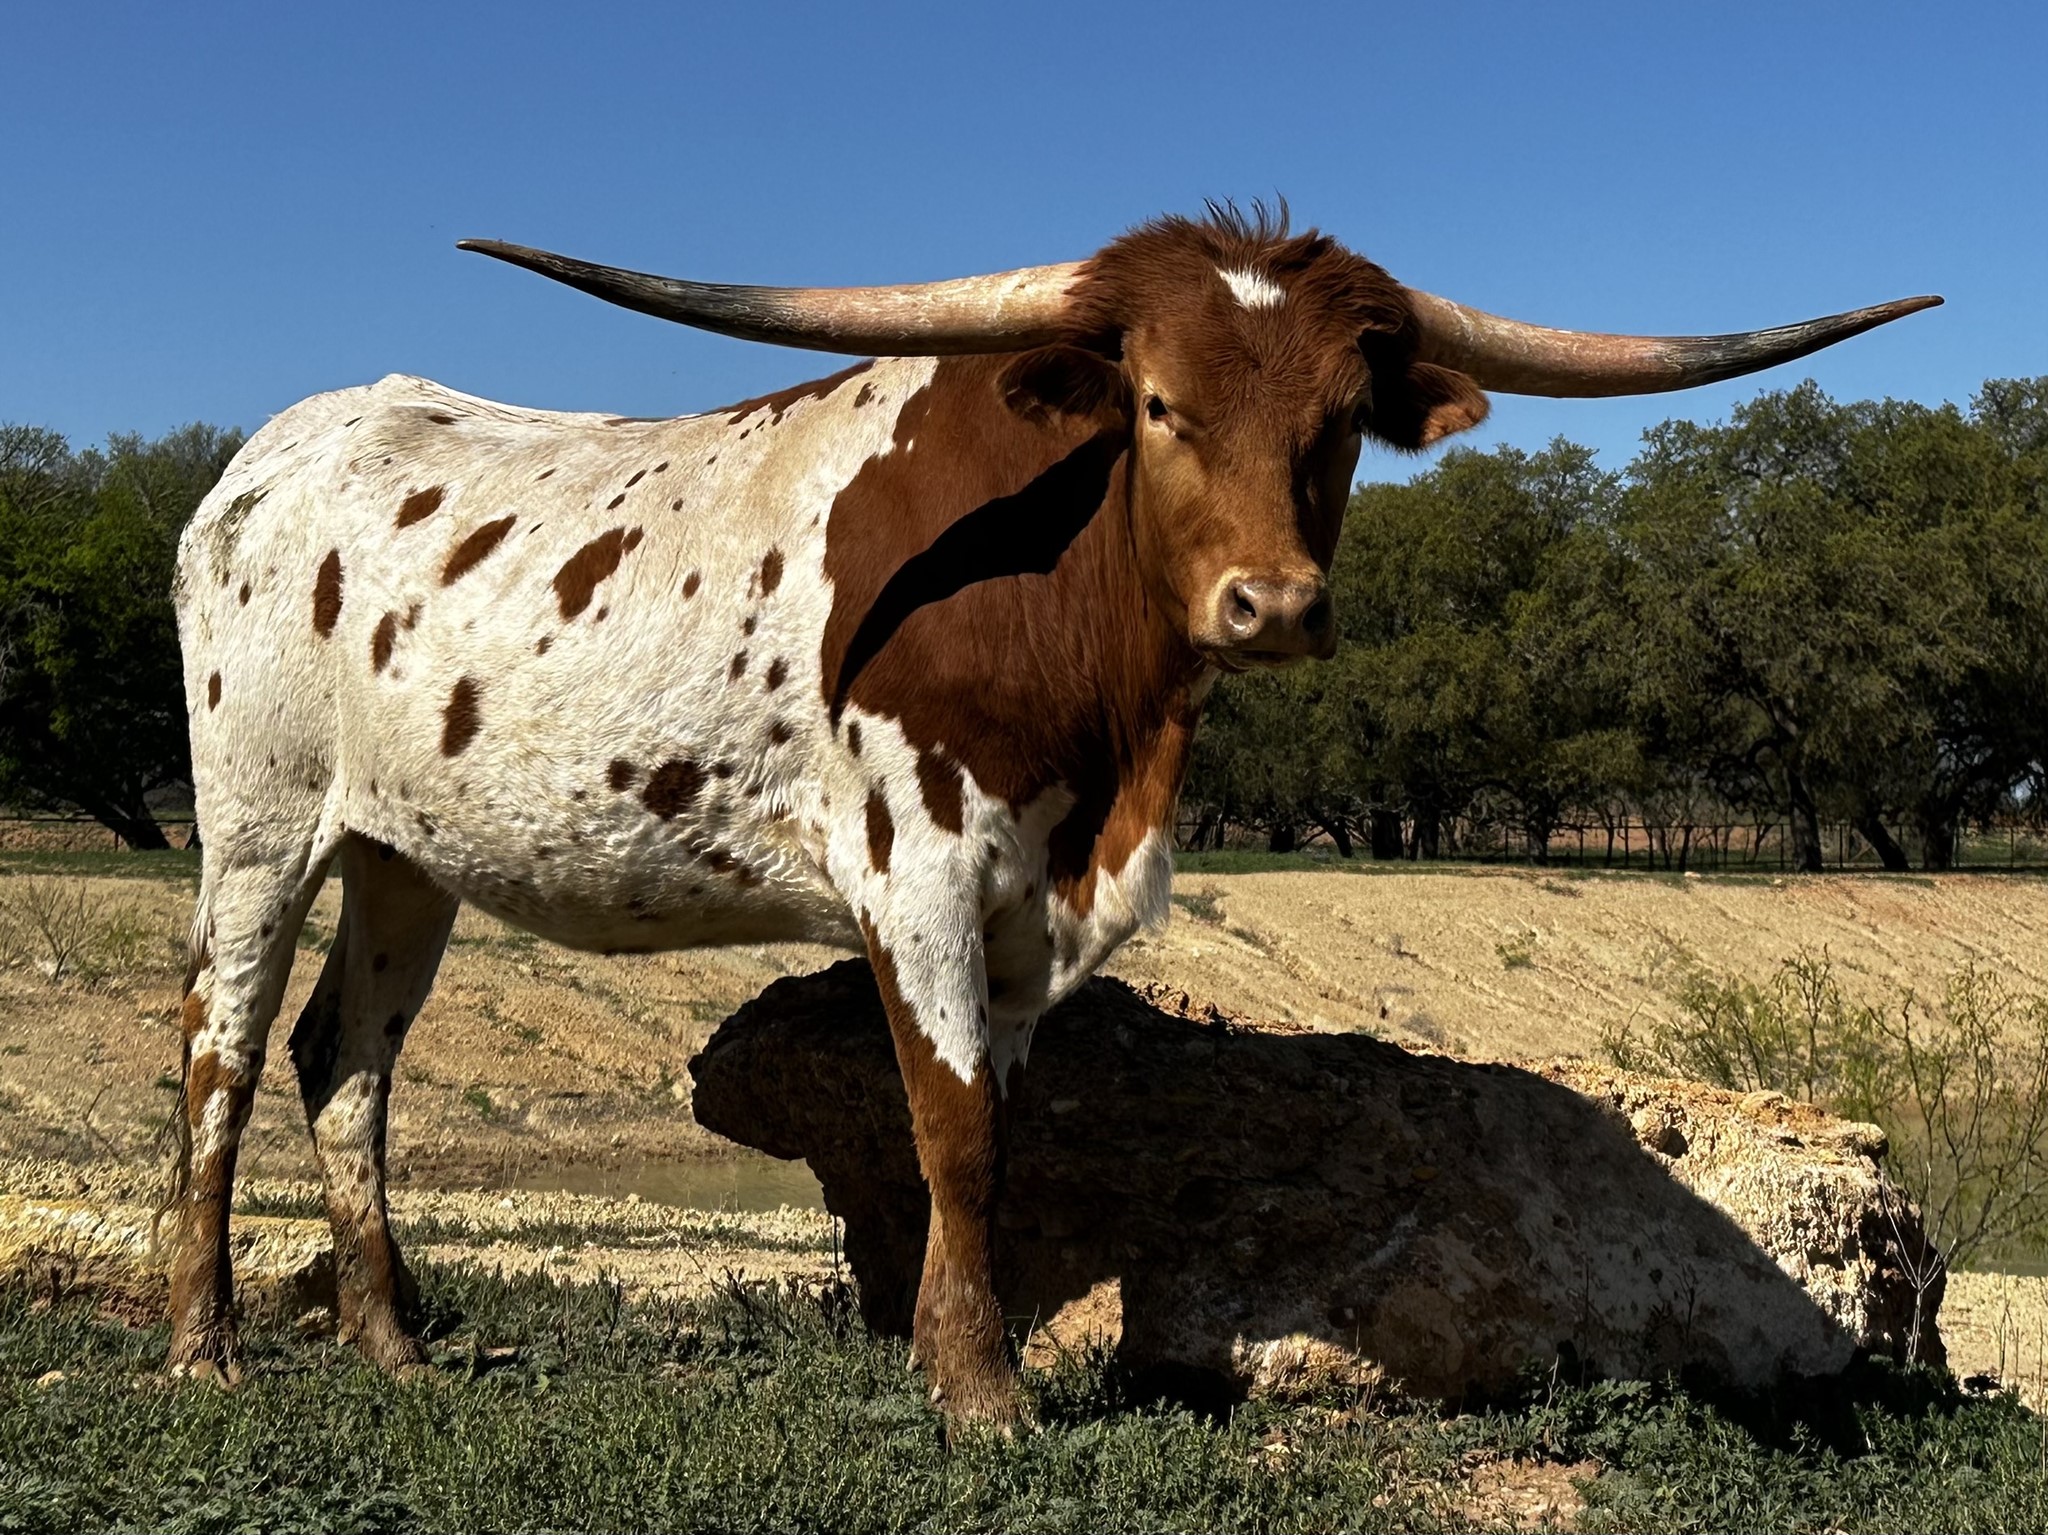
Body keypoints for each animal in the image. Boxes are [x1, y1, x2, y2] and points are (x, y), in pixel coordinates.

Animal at [166, 206, 1935, 1421]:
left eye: (1341, 420)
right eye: (1154, 402)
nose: (1272, 603)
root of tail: (269, 456)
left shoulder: (1033, 911)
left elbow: (1001, 1140)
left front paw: (972, 1352)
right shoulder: (921, 871)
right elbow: (948, 1129)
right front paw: (982, 1396)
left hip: (405, 852)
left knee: (347, 1062)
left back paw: (393, 1346)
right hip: (260, 822)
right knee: (222, 1047)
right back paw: (206, 1344)